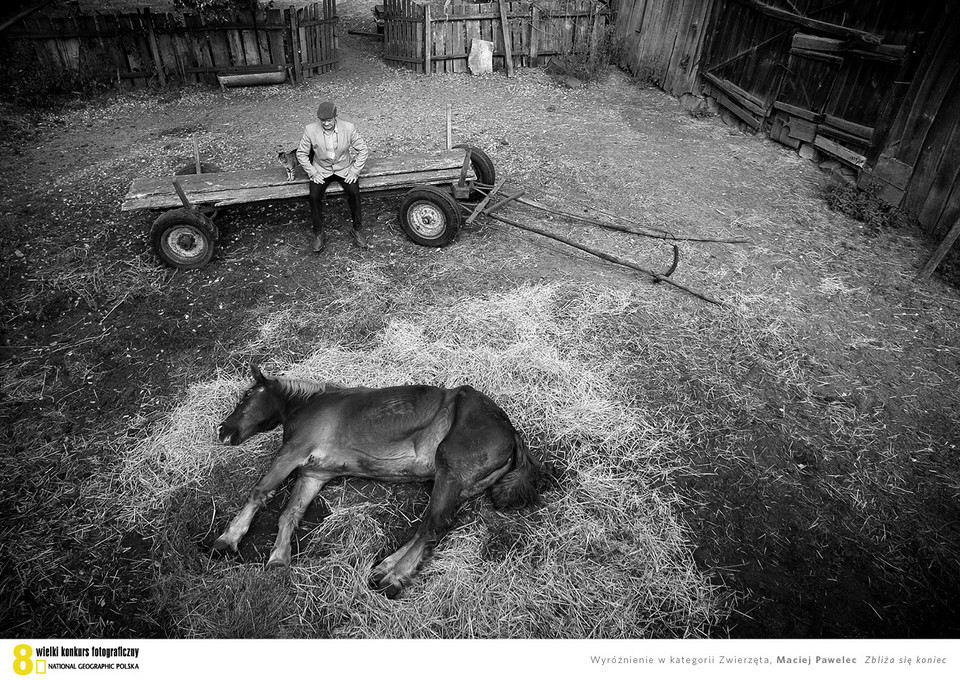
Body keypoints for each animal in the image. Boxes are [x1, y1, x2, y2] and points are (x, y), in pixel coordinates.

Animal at [214, 366, 544, 596]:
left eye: (246, 396)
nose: (222, 430)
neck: (309, 405)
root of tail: (511, 432)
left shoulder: (292, 452)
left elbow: (260, 491)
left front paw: (226, 540)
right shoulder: (314, 474)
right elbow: (290, 513)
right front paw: (278, 560)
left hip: (451, 470)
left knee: (434, 525)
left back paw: (394, 580)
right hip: (460, 484)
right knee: (429, 526)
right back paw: (384, 567)